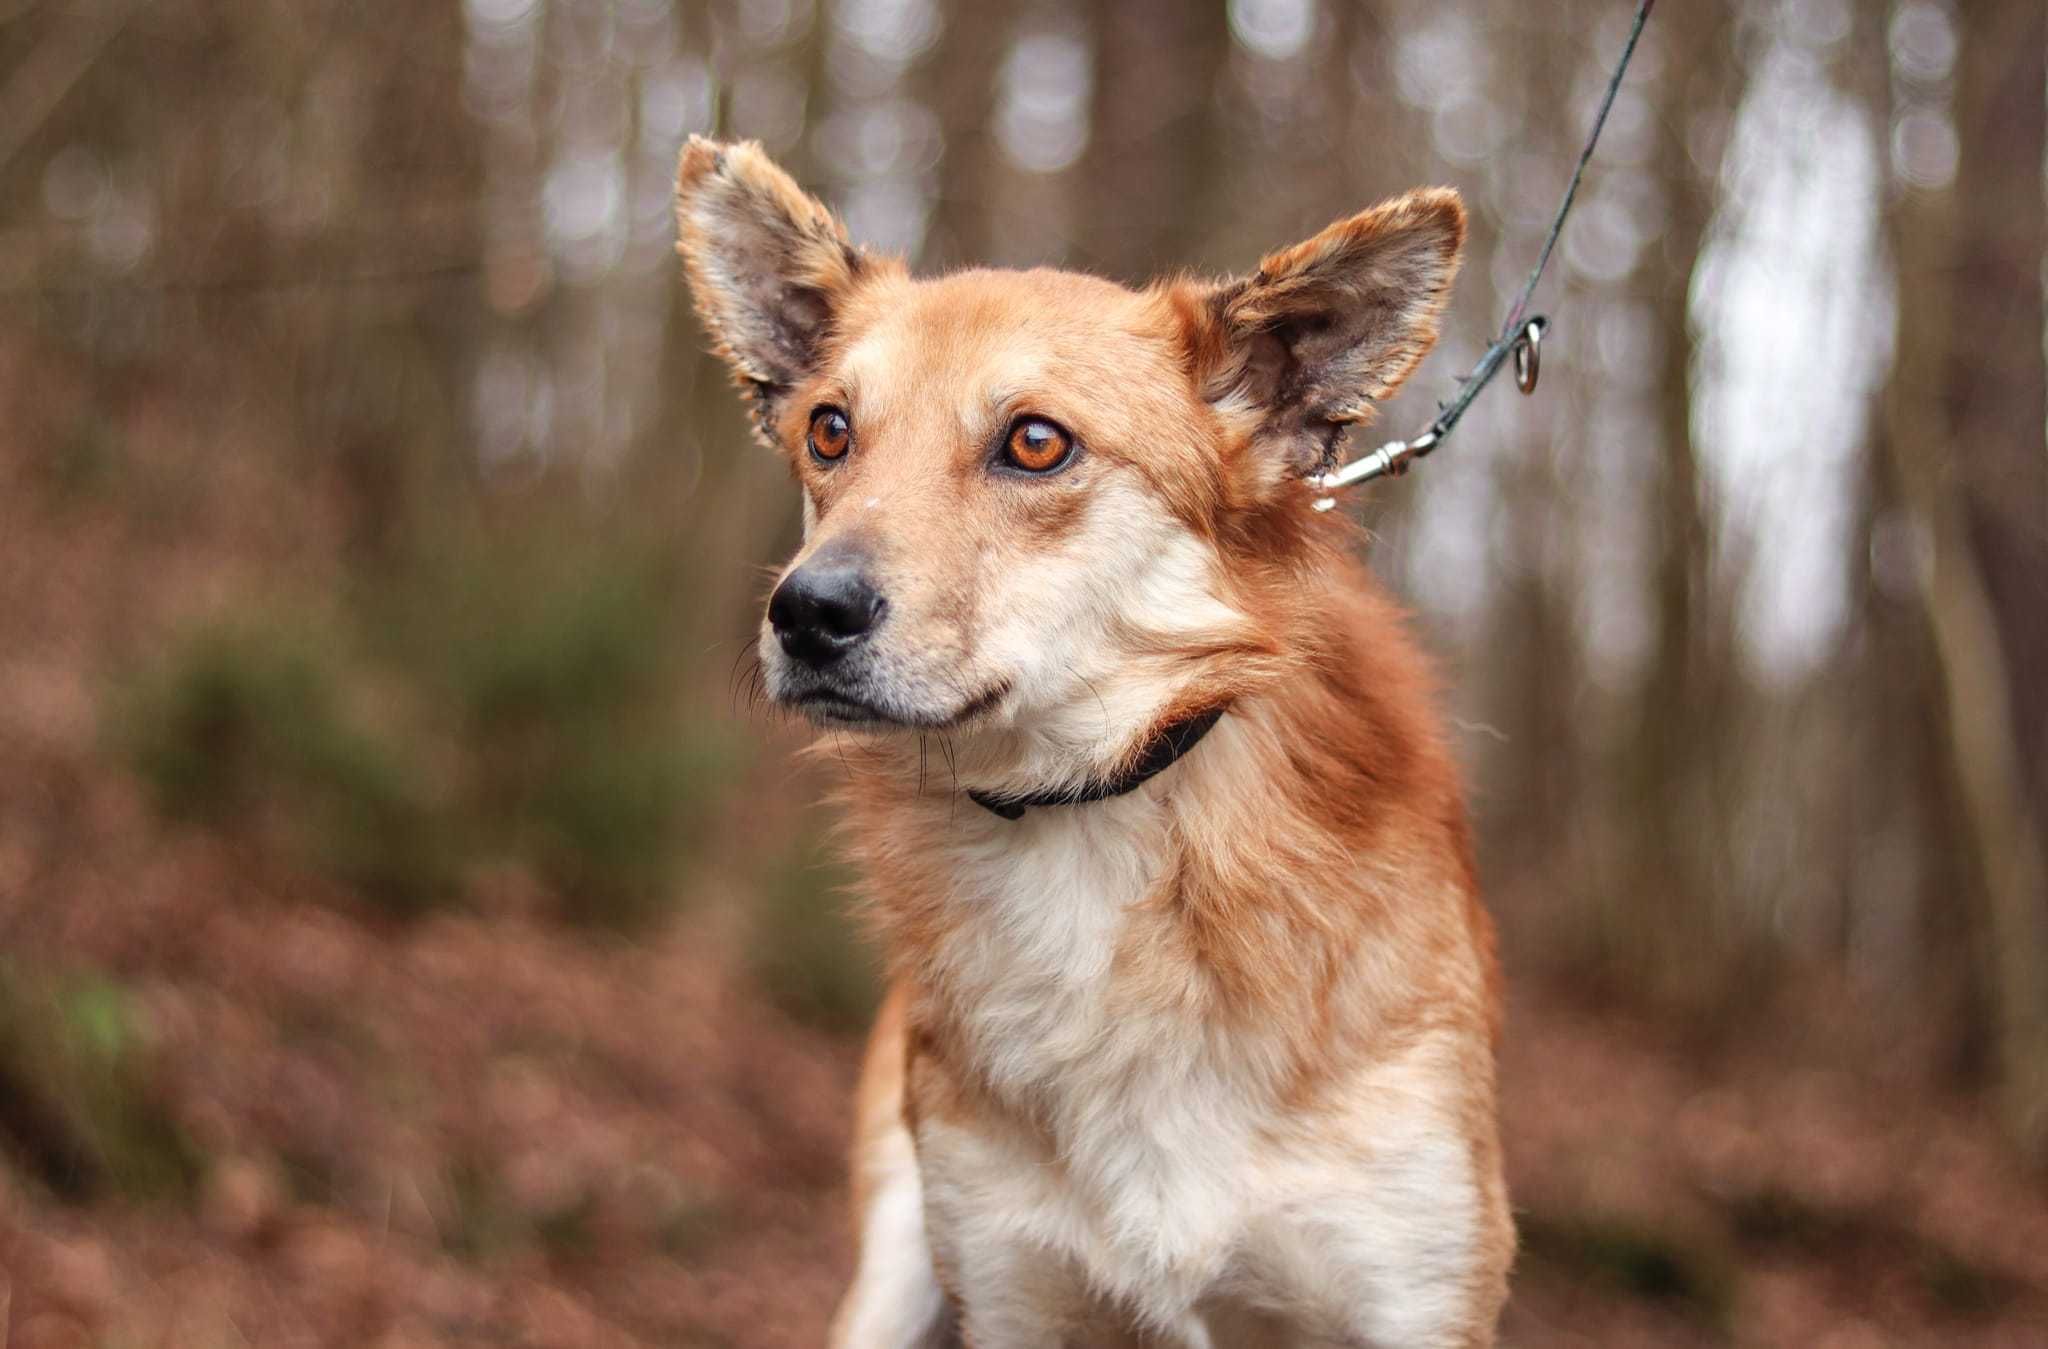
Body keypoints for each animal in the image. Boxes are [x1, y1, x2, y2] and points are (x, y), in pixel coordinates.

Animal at [679, 134, 1515, 1349]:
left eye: (1035, 442)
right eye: (829, 431)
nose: (807, 613)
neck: (1093, 825)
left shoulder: (1409, 1291)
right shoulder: (1006, 1287)